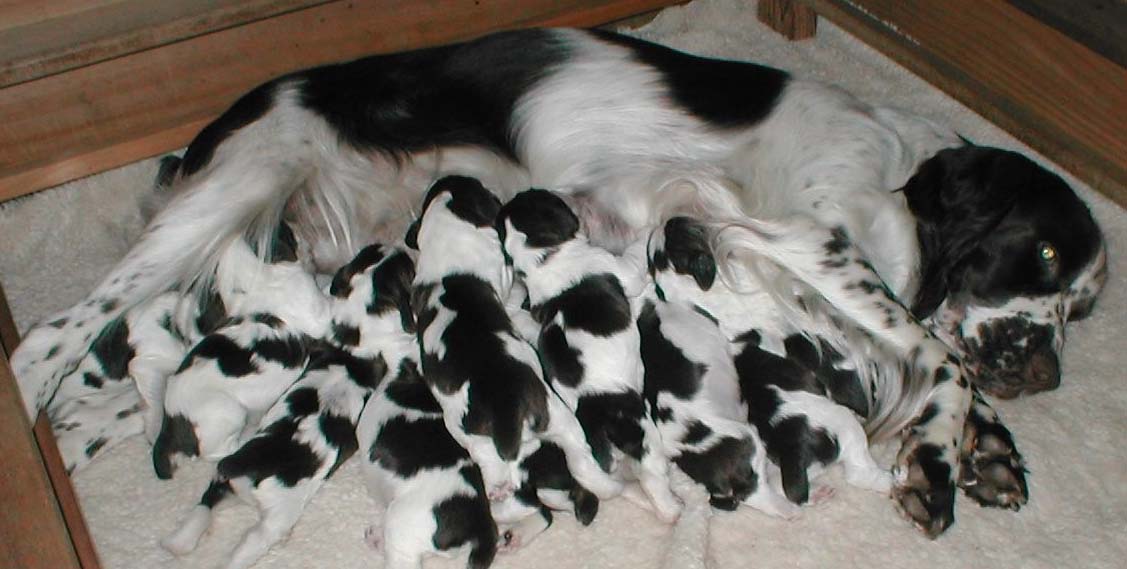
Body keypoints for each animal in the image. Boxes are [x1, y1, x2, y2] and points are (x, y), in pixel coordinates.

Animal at [163, 243, 414, 563]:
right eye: (406, 265)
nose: (398, 246)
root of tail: (247, 468)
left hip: (221, 480)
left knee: (203, 506)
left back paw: (178, 542)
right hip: (277, 516)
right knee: (247, 545)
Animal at [405, 174, 622, 500]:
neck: (445, 224)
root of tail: (504, 402)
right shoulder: (502, 272)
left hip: (475, 429)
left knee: (497, 459)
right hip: (555, 415)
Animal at [500, 188, 676, 520]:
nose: (570, 195)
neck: (544, 259)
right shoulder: (617, 268)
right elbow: (635, 257)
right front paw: (647, 230)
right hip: (643, 435)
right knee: (652, 477)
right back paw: (673, 508)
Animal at [649, 217, 892, 504]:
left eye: (670, 236)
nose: (670, 220)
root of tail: (792, 452)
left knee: (789, 489)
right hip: (844, 425)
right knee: (857, 470)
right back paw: (889, 480)